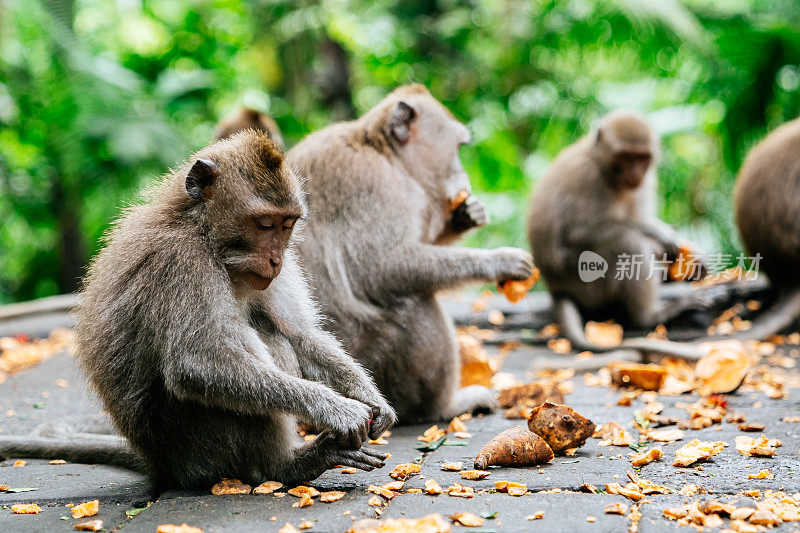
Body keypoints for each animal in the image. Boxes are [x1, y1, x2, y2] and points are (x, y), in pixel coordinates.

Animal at [0, 131, 394, 488]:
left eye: (287, 225)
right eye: (264, 224)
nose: (276, 259)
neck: (205, 234)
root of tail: (163, 467)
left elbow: (301, 334)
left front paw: (372, 400)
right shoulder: (182, 261)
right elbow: (195, 363)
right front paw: (336, 409)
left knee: (272, 331)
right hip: (201, 446)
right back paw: (286, 465)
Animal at [284, 84, 536, 424]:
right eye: (458, 148)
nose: (465, 178)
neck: (380, 149)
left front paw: (464, 216)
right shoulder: (374, 184)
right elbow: (382, 267)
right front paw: (500, 261)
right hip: (378, 363)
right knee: (417, 303)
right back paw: (444, 406)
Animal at [528, 108, 708, 360]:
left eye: (642, 158)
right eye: (625, 157)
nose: (635, 173)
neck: (601, 164)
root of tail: (557, 289)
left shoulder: (645, 181)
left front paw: (678, 246)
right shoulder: (590, 179)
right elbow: (579, 232)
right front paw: (657, 234)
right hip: (586, 284)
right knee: (627, 243)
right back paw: (650, 315)